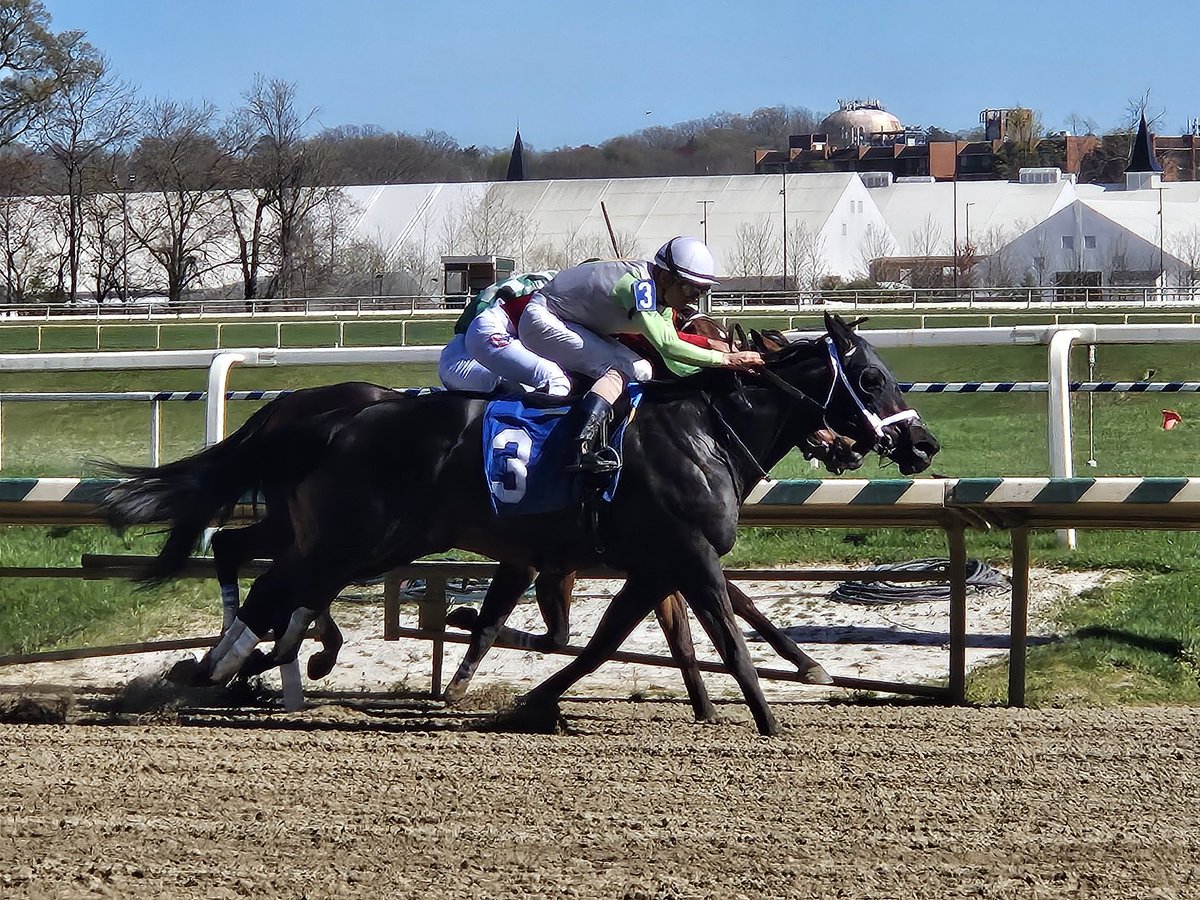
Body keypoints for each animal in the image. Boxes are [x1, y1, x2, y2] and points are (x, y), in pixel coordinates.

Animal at [103, 314, 936, 734]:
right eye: (868, 377)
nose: (923, 444)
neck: (701, 429)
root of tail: (327, 419)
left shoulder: (650, 562)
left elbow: (602, 642)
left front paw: (533, 699)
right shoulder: (687, 551)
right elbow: (727, 631)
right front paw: (772, 722)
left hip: (341, 537)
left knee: (255, 564)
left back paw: (237, 669)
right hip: (357, 539)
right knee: (273, 588)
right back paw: (226, 671)